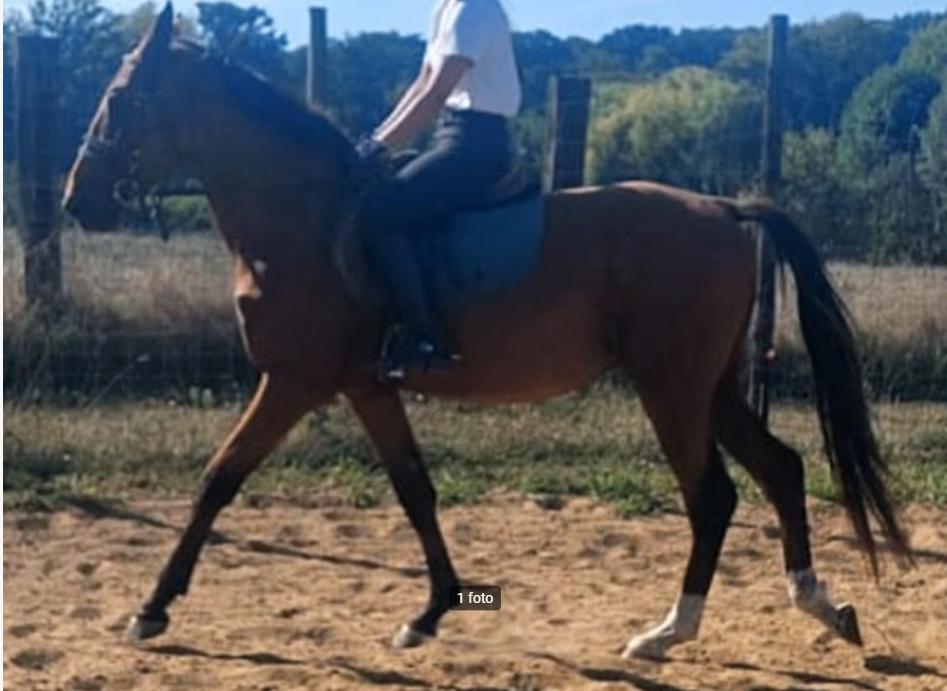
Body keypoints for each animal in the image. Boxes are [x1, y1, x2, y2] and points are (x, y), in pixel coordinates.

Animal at [63, 4, 911, 660]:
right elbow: (414, 489)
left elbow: (219, 478)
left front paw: (150, 608)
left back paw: (667, 632)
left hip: (670, 385)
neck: (300, 220)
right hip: (709, 384)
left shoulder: (295, 382)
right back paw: (821, 605)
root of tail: (725, 209)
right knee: (780, 469)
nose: (79, 201)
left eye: (120, 98)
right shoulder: (367, 386)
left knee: (713, 497)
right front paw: (432, 609)